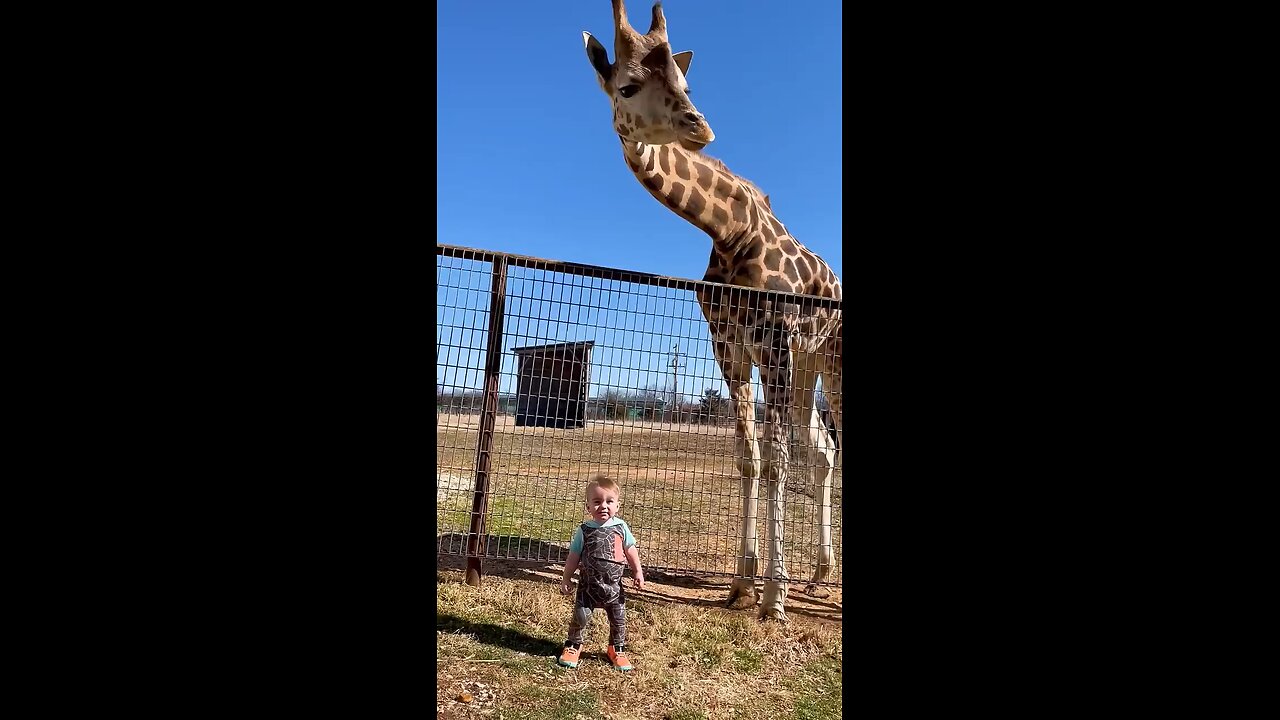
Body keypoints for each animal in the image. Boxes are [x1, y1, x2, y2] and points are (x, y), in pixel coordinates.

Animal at [581, 0, 839, 620]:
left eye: (684, 81)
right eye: (627, 85)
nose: (700, 125)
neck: (728, 232)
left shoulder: (772, 340)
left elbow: (776, 460)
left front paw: (774, 596)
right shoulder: (730, 346)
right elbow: (750, 458)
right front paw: (743, 582)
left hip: (832, 360)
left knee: (826, 446)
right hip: (809, 364)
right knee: (823, 451)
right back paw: (822, 572)